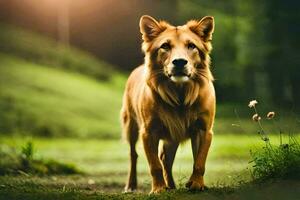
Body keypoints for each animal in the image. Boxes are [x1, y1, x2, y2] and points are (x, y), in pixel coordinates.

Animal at [120, 14, 214, 193]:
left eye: (191, 46)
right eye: (165, 46)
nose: (179, 62)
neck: (180, 93)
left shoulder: (204, 129)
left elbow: (200, 161)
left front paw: (197, 184)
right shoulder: (148, 131)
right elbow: (154, 164)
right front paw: (158, 189)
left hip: (173, 136)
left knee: (165, 158)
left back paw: (171, 185)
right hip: (131, 126)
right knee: (133, 155)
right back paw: (131, 185)